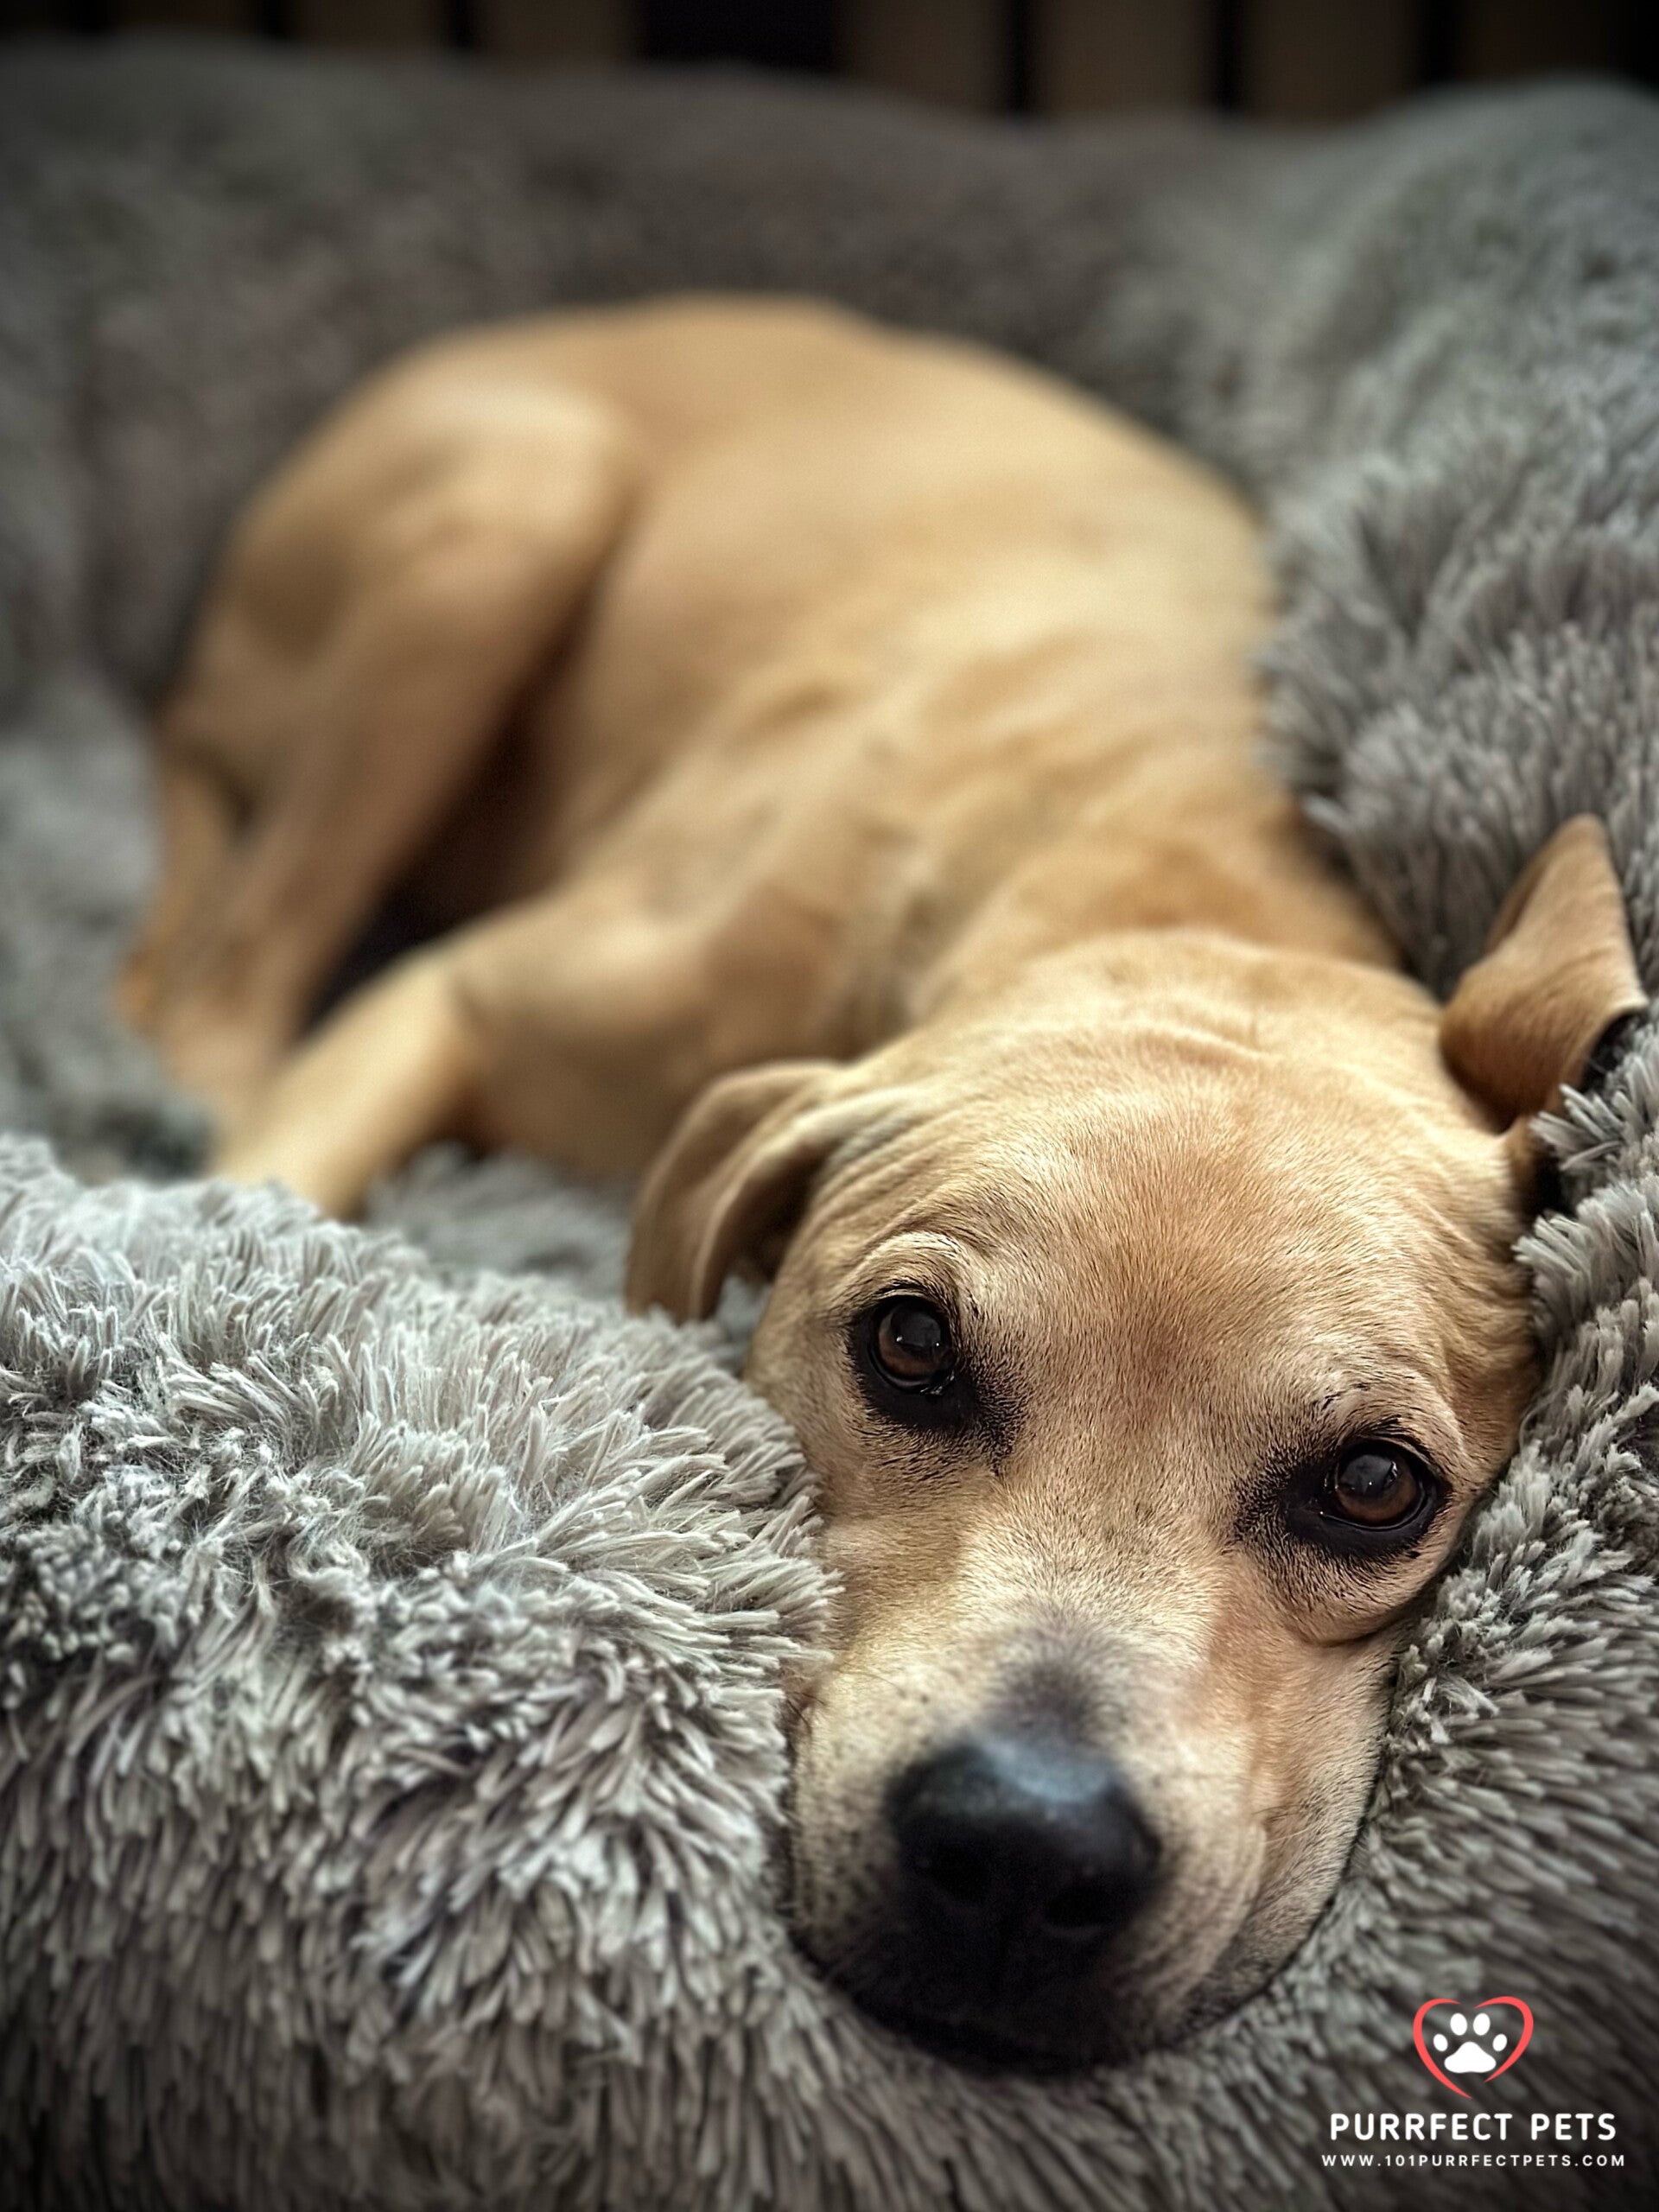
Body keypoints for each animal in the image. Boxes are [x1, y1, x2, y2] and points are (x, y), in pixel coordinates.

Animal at [121, 297, 1646, 2071]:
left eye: (1376, 1486)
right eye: (909, 1347)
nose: (1024, 1854)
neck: (1174, 882)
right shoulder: (459, 1000)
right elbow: (273, 1178)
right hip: (505, 516)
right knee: (235, 957)